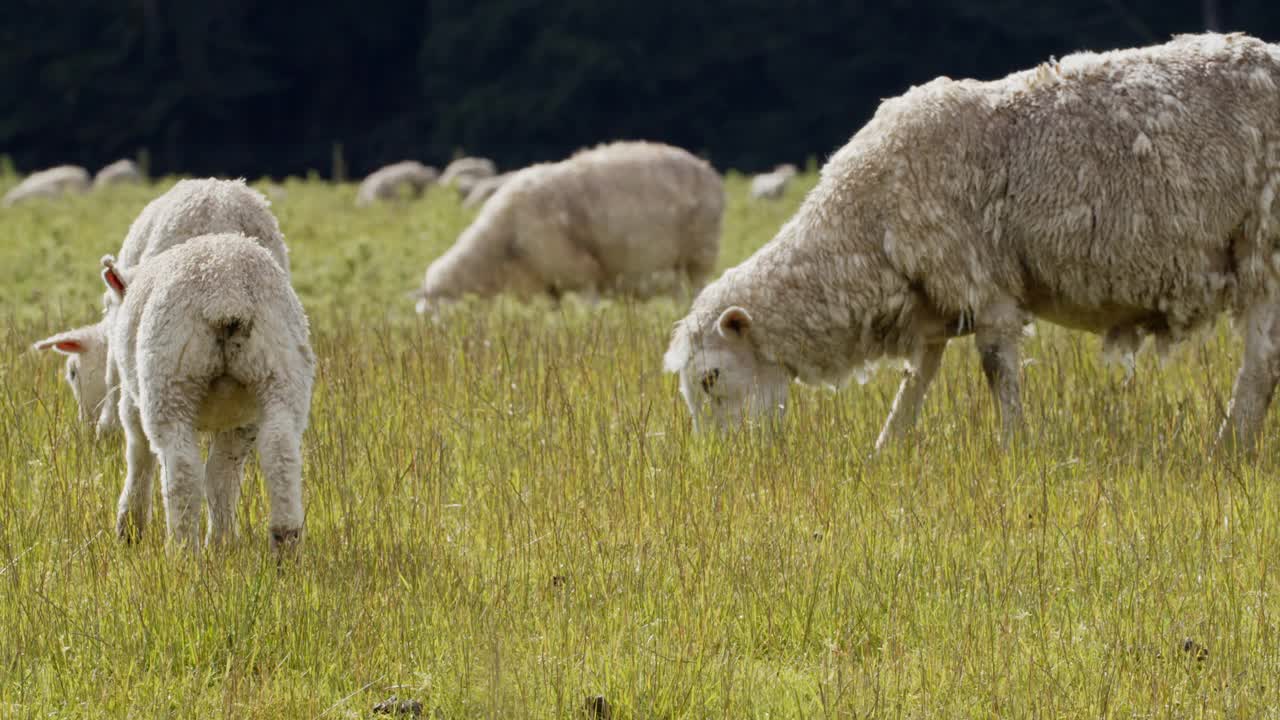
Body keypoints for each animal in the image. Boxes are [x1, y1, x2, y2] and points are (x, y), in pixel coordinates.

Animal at [97, 233, 312, 545]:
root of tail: (226, 290)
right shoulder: (241, 422)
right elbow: (222, 476)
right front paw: (223, 542)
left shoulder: (132, 403)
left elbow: (138, 455)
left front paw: (130, 529)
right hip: (280, 370)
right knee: (280, 452)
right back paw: (284, 540)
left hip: (169, 380)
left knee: (182, 471)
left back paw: (182, 547)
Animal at [414, 140, 727, 311]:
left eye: (436, 314)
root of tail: (708, 169)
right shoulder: (550, 284)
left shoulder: (581, 271)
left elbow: (590, 307)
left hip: (699, 253)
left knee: (698, 287)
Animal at [665, 33, 1280, 450]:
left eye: (710, 379)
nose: (725, 465)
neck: (863, 228)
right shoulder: (933, 299)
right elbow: (916, 380)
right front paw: (885, 451)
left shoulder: (980, 281)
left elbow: (996, 369)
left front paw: (1015, 445)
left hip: (1264, 242)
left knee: (1261, 361)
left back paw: (1228, 446)